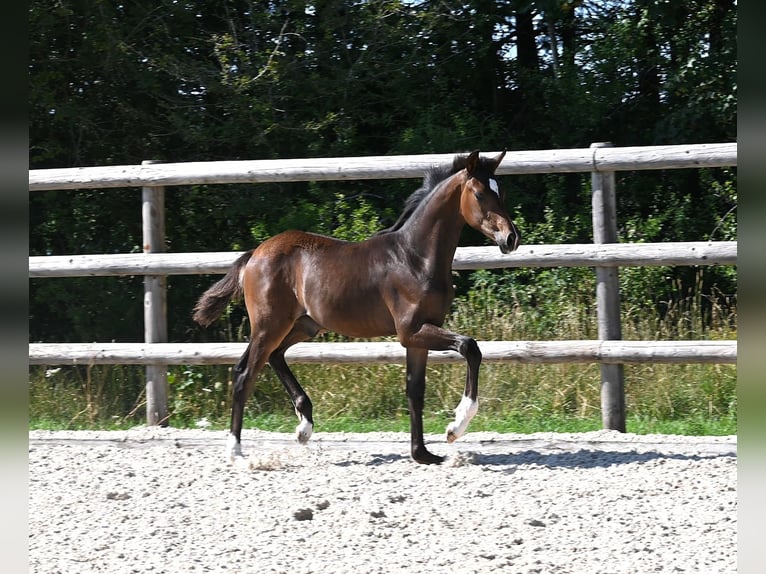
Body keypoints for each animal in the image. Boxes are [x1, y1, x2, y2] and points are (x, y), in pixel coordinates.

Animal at [193, 150, 520, 464]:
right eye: (480, 193)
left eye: (502, 192)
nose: (511, 237)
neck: (415, 258)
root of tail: (255, 254)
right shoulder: (411, 331)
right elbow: (470, 347)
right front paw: (455, 427)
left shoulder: (418, 336)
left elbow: (415, 390)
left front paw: (424, 454)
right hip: (269, 325)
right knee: (245, 373)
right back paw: (236, 451)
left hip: (303, 326)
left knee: (274, 357)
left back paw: (304, 425)